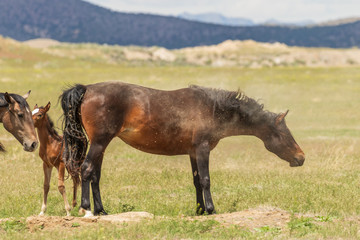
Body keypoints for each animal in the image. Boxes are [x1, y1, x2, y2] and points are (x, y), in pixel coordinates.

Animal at [60, 81, 306, 217]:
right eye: (284, 133)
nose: (301, 157)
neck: (213, 109)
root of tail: (87, 89)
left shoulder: (193, 152)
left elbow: (197, 181)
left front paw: (199, 210)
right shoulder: (203, 149)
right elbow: (206, 180)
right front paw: (210, 209)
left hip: (102, 145)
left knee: (95, 175)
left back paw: (101, 210)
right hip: (99, 142)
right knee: (86, 170)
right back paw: (86, 208)